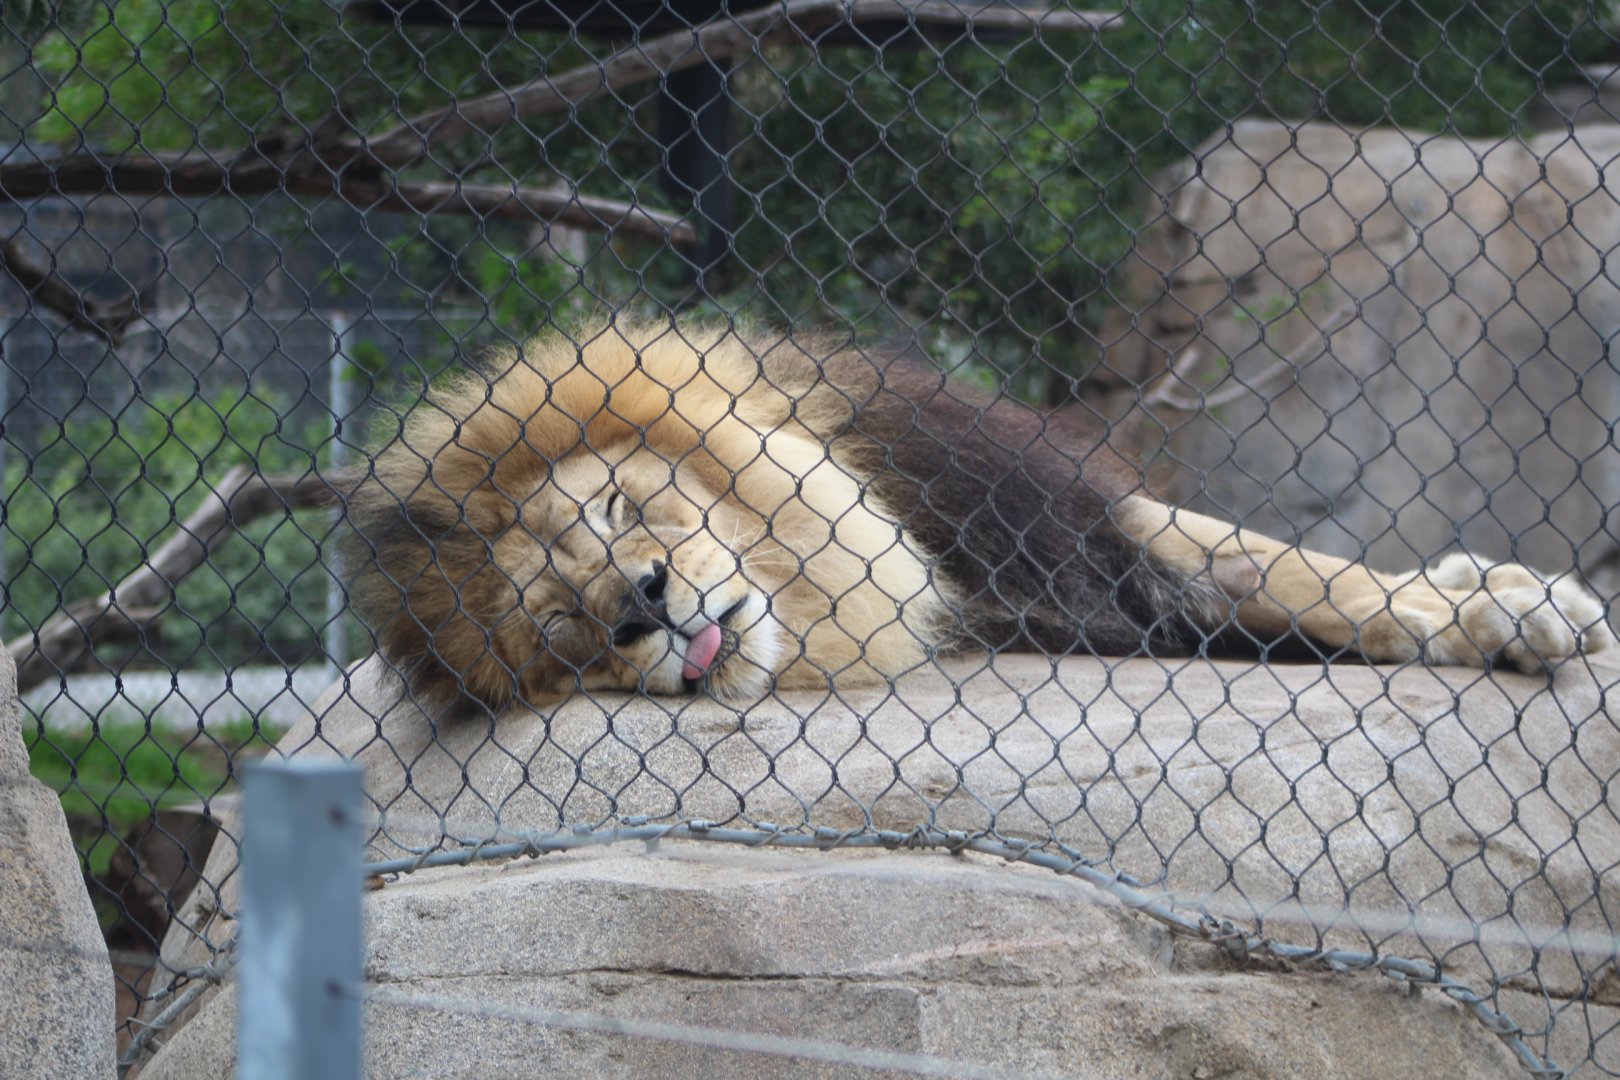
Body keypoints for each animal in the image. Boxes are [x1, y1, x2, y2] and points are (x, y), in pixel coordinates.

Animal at [345, 318, 1615, 712]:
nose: (643, 607)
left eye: (616, 508)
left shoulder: (1039, 515)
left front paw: (1520, 611)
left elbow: (1288, 569)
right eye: (563, 631)